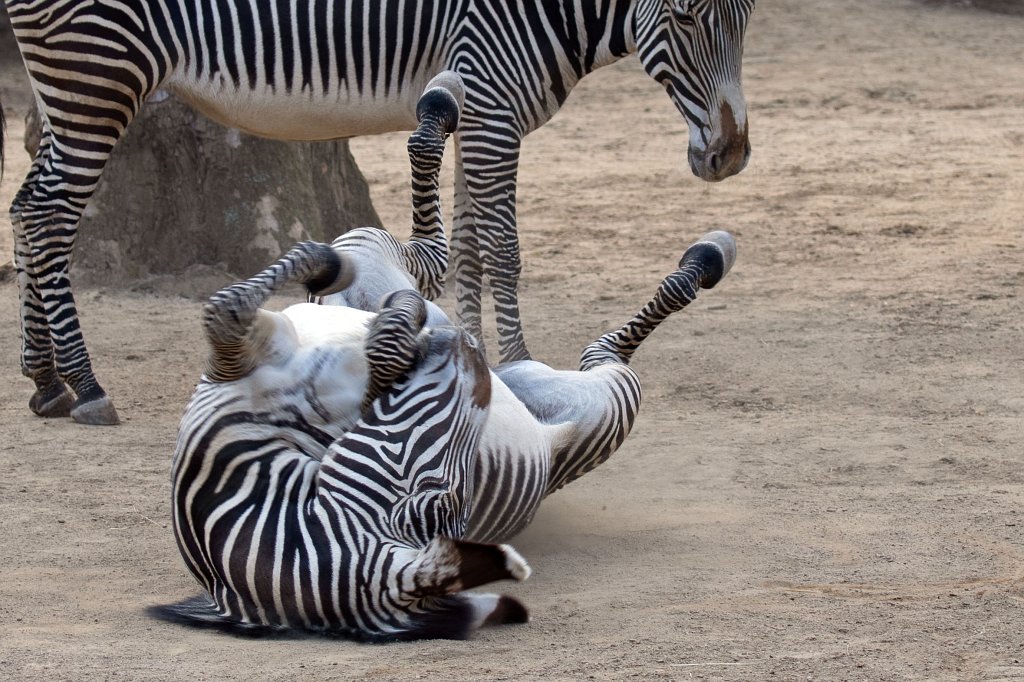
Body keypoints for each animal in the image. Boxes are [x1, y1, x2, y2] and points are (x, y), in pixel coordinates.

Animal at [2, 0, 755, 425]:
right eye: (686, 17)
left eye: (744, 20)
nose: (731, 155)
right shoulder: (493, 105)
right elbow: (504, 248)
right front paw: (519, 361)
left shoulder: (480, 107)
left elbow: (473, 249)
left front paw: (477, 359)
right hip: (97, 76)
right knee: (50, 215)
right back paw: (85, 384)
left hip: (66, 89)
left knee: (25, 204)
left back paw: (46, 382)